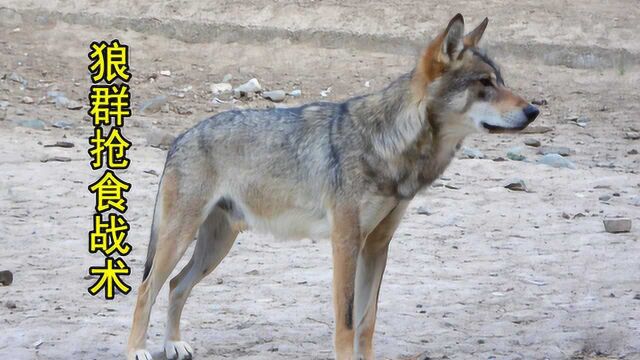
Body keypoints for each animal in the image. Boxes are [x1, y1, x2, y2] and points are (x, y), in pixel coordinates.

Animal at [127, 13, 536, 360]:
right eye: (484, 84)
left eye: (500, 80)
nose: (534, 111)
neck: (389, 143)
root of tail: (181, 137)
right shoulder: (346, 242)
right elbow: (346, 323)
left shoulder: (377, 246)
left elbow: (367, 323)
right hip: (182, 239)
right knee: (147, 289)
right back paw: (138, 350)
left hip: (215, 247)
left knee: (176, 285)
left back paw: (174, 345)